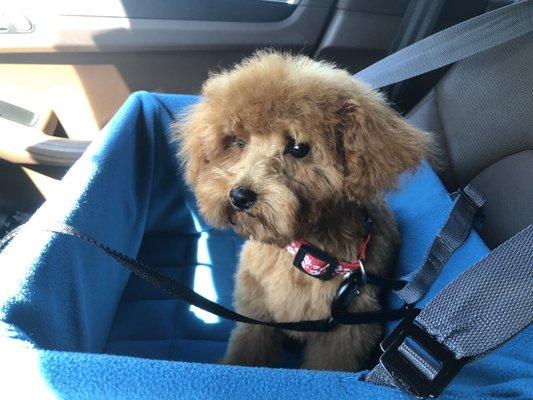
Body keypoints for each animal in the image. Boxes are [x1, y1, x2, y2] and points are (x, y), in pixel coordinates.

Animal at [177, 50, 430, 372]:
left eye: (298, 148)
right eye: (238, 142)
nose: (240, 196)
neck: (306, 253)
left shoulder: (347, 331)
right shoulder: (256, 311)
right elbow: (247, 349)